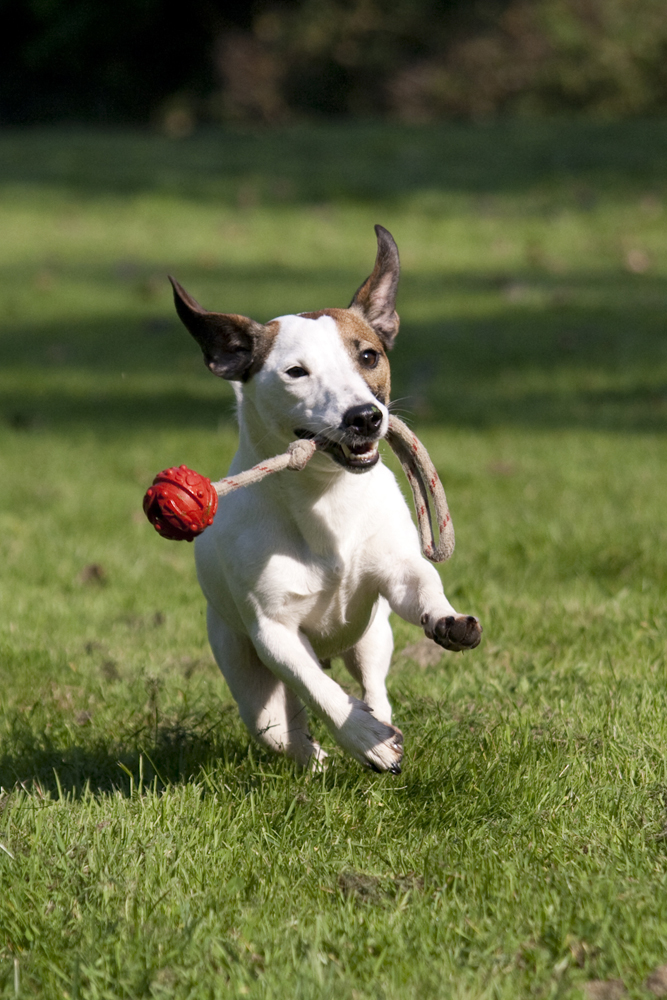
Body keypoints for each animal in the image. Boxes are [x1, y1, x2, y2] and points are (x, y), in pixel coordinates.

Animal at [170, 227, 482, 772]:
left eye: (369, 356)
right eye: (297, 372)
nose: (365, 417)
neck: (325, 497)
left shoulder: (394, 567)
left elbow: (421, 582)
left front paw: (446, 618)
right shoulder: (272, 631)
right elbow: (317, 687)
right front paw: (362, 736)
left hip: (371, 637)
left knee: (373, 679)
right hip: (241, 664)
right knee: (280, 725)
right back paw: (319, 751)